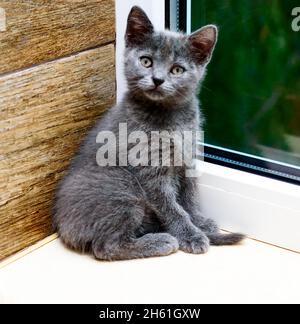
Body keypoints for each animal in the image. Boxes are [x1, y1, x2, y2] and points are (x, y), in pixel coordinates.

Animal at [52, 5, 245, 260]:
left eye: (177, 69)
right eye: (146, 61)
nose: (157, 79)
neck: (171, 117)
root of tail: (64, 227)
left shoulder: (187, 158)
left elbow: (190, 195)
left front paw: (200, 222)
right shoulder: (149, 167)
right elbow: (171, 207)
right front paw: (191, 235)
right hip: (122, 188)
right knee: (106, 247)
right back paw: (160, 241)